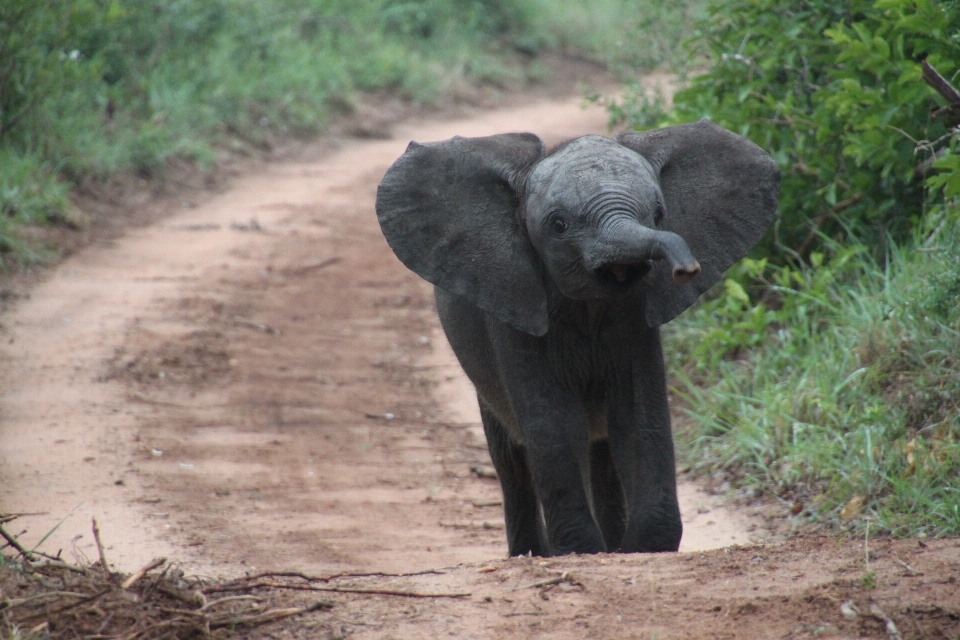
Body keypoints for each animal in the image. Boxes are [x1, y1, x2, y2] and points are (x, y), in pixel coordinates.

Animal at [376, 119, 780, 556]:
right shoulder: (514, 305)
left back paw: (612, 545)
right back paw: (532, 553)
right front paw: (579, 549)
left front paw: (645, 546)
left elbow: (635, 417)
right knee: (511, 459)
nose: (686, 269)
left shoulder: (635, 316)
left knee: (600, 451)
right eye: (558, 225)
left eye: (659, 214)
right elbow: (556, 423)